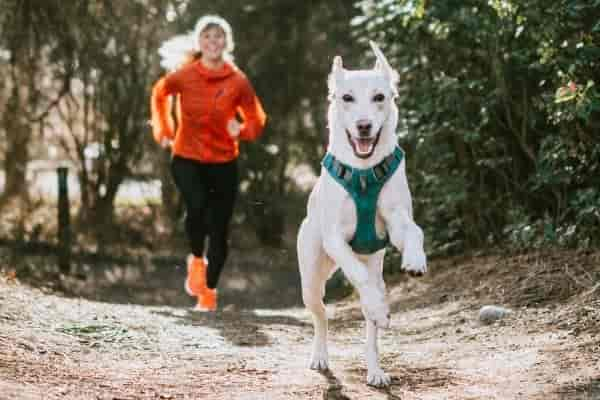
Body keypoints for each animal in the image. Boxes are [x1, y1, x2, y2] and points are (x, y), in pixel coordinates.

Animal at [296, 43, 426, 388]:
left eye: (379, 97)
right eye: (347, 98)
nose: (364, 125)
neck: (365, 172)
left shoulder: (396, 221)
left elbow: (414, 231)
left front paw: (415, 260)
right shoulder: (335, 239)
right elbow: (357, 272)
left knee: (370, 326)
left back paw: (375, 368)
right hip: (311, 279)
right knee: (322, 315)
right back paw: (321, 356)